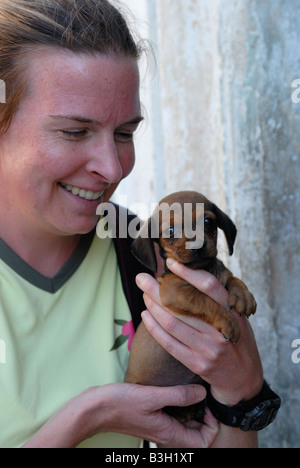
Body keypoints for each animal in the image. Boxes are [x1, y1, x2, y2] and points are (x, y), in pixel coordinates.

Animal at [124, 192, 255, 422]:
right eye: (170, 231)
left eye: (208, 221)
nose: (197, 246)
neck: (205, 270)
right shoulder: (175, 293)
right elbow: (207, 300)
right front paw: (229, 322)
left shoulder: (221, 275)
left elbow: (232, 278)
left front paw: (243, 296)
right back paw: (184, 410)